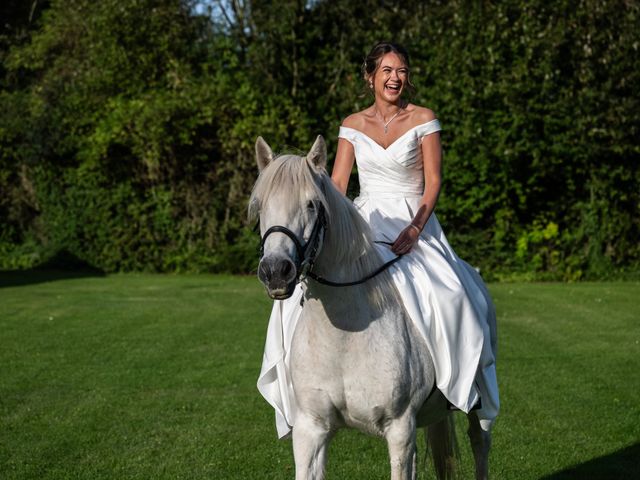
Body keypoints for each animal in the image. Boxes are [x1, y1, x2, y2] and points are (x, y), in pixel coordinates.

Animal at [250, 135, 490, 480]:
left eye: (312, 204)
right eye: (261, 205)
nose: (275, 272)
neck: (345, 334)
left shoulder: (400, 429)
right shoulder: (311, 429)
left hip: (481, 406)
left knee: (479, 443)